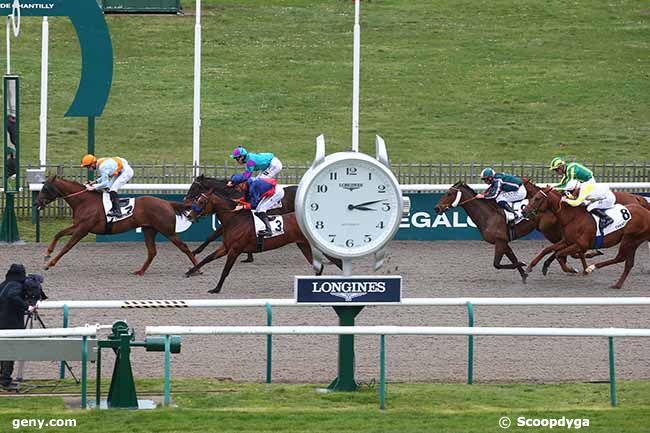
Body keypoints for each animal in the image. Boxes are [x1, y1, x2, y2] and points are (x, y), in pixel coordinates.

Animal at [34, 175, 197, 274]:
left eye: (46, 188)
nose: (36, 203)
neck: (85, 201)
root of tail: (167, 203)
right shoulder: (78, 226)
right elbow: (58, 233)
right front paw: (47, 254)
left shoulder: (83, 229)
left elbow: (67, 247)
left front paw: (50, 264)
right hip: (149, 230)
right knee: (152, 252)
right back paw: (140, 271)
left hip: (168, 231)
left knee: (184, 247)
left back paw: (197, 269)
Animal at [185, 187, 342, 292]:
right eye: (197, 199)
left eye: (202, 201)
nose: (189, 215)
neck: (235, 219)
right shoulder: (226, 247)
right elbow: (208, 258)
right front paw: (190, 271)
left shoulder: (235, 249)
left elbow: (225, 270)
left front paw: (216, 289)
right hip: (303, 245)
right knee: (319, 267)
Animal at [520, 188, 648, 286]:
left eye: (537, 198)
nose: (523, 211)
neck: (573, 217)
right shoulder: (567, 241)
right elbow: (547, 250)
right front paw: (530, 267)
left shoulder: (581, 244)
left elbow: (559, 254)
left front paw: (571, 269)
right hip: (634, 241)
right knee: (628, 262)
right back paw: (617, 284)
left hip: (629, 239)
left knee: (621, 258)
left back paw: (592, 268)